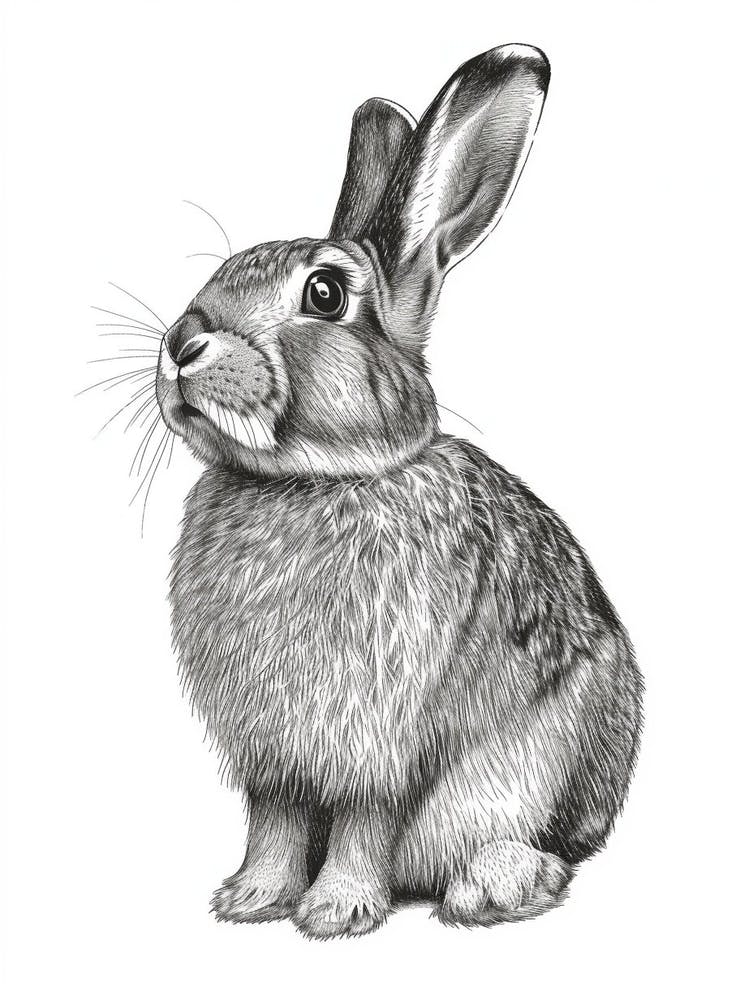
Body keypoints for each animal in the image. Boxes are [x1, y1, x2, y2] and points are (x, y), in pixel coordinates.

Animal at [157, 43, 643, 939]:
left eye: (323, 293)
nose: (181, 343)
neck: (316, 478)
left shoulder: (379, 739)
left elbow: (362, 819)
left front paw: (336, 911)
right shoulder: (272, 754)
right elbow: (274, 819)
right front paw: (252, 899)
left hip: (541, 764)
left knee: (542, 848)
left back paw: (496, 885)